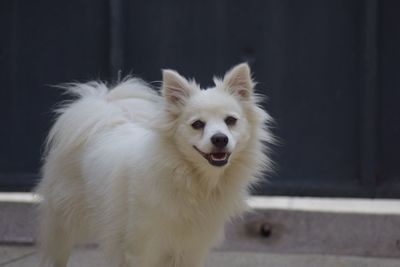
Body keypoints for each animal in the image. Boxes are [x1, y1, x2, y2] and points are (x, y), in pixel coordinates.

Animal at [36, 63, 274, 266]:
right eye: (197, 124)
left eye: (231, 121)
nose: (219, 139)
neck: (189, 177)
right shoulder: (143, 248)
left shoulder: (192, 250)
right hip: (63, 224)